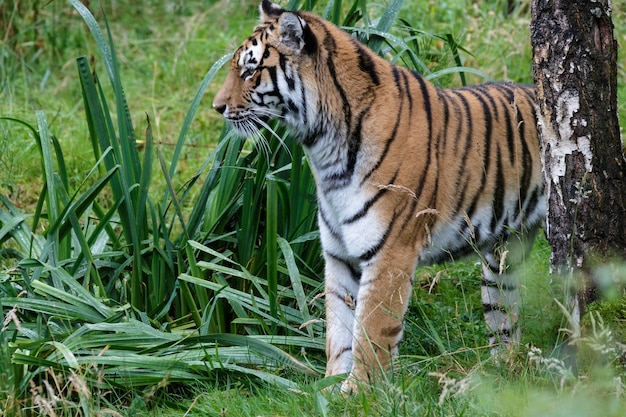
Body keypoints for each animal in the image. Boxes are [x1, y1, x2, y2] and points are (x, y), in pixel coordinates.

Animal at [212, 0, 544, 390]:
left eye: (250, 71)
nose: (217, 107)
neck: (322, 149)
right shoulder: (339, 254)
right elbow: (339, 328)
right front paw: (331, 387)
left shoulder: (390, 252)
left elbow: (371, 333)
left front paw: (359, 392)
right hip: (502, 258)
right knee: (505, 319)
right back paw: (501, 375)